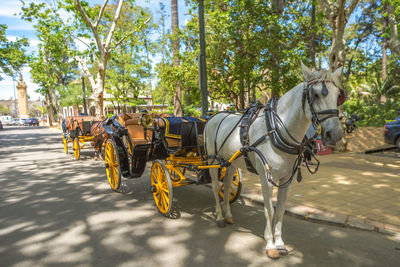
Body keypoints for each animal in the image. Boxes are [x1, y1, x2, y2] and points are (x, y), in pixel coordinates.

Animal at [205, 63, 346, 260]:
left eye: (338, 95)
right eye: (316, 94)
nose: (335, 134)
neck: (277, 129)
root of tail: (213, 117)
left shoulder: (287, 179)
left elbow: (280, 210)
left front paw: (279, 243)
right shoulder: (266, 178)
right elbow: (269, 210)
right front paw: (270, 245)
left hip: (231, 162)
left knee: (225, 186)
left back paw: (228, 214)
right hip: (213, 160)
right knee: (215, 186)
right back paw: (219, 216)